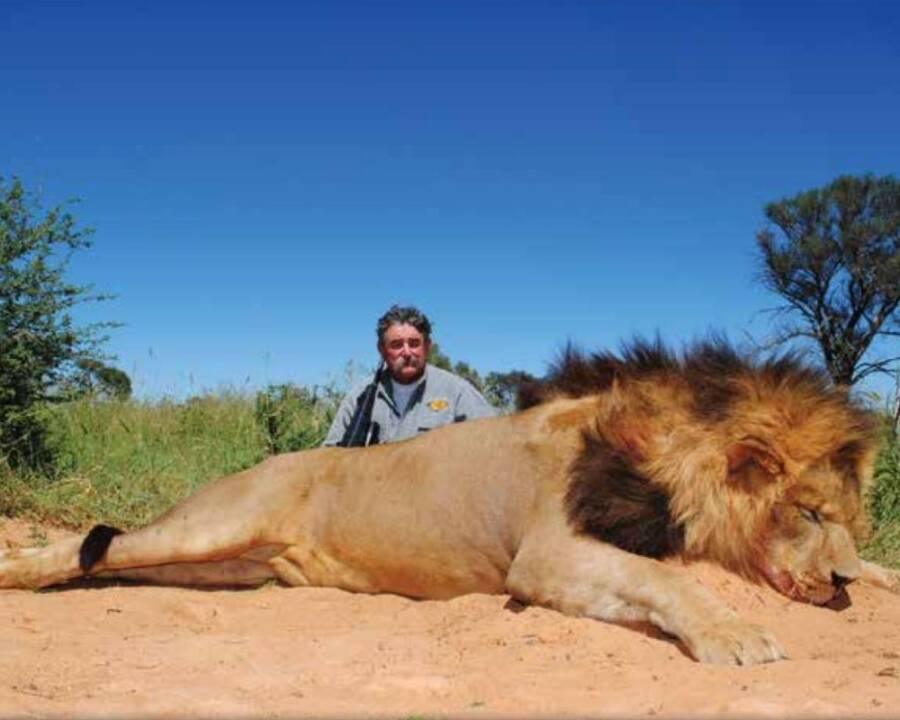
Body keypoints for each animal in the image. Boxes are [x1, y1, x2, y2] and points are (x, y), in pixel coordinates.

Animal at [1, 338, 898, 665]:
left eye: (848, 519)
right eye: (808, 512)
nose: (840, 583)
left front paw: (872, 579)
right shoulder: (547, 554)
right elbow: (668, 579)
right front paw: (739, 637)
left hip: (230, 569)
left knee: (114, 559)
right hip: (218, 521)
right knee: (93, 545)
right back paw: (19, 569)